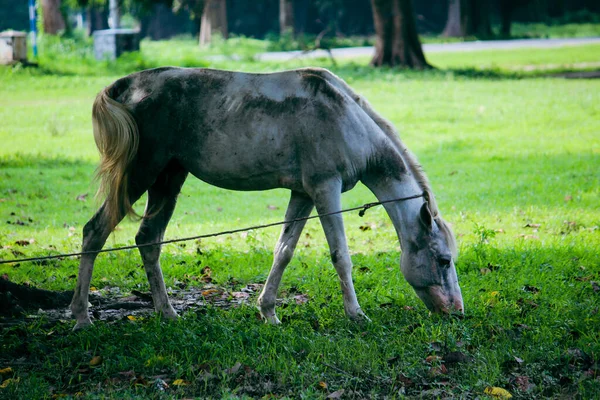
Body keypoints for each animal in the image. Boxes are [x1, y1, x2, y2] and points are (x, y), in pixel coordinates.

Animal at [70, 65, 464, 328]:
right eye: (443, 261)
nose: (457, 311)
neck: (345, 118)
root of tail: (128, 86)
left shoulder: (303, 194)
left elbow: (284, 251)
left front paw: (268, 312)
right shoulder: (325, 188)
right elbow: (341, 256)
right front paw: (355, 314)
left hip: (168, 179)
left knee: (149, 240)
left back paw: (167, 312)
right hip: (141, 174)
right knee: (94, 232)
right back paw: (81, 317)